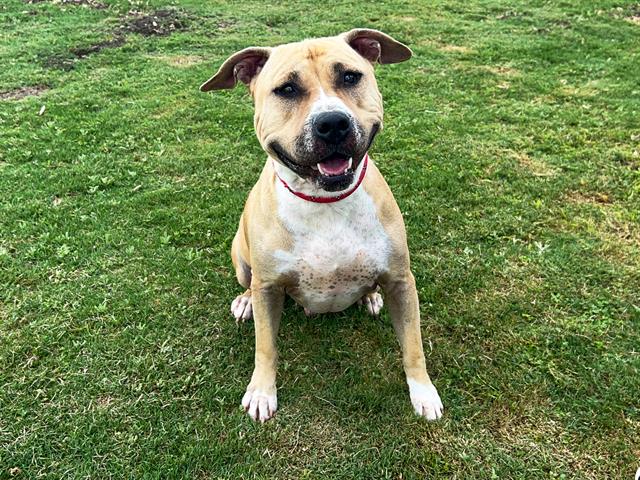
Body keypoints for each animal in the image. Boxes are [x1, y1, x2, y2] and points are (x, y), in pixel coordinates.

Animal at [202, 28, 442, 422]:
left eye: (350, 77)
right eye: (286, 89)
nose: (332, 123)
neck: (325, 202)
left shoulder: (401, 281)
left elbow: (413, 344)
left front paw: (423, 391)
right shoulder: (269, 286)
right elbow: (265, 347)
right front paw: (261, 392)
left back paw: (370, 296)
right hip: (239, 254)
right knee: (247, 283)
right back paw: (245, 301)